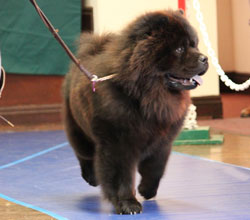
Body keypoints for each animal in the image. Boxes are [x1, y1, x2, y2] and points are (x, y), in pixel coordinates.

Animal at [62, 9, 207, 214]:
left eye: (194, 45)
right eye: (179, 49)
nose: (205, 58)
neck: (146, 96)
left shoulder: (162, 141)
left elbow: (155, 168)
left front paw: (147, 190)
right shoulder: (119, 144)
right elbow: (121, 177)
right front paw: (127, 203)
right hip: (79, 130)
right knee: (84, 154)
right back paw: (91, 177)